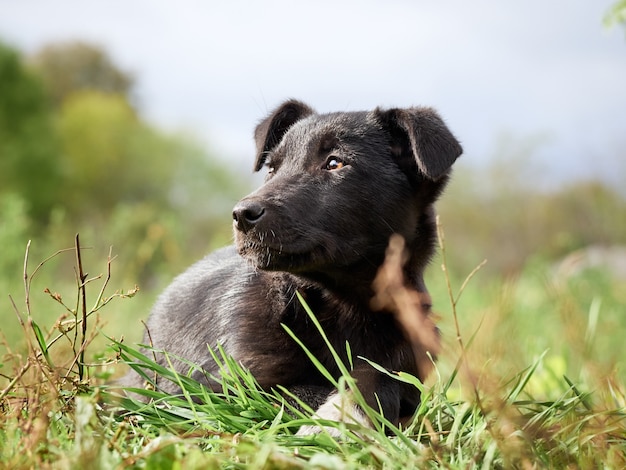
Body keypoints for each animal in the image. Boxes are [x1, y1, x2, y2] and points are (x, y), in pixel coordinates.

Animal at [124, 101, 460, 436]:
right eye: (272, 169)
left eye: (335, 163)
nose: (241, 214)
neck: (342, 303)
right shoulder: (222, 389)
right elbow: (296, 393)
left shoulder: (409, 361)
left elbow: (381, 377)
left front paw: (345, 412)